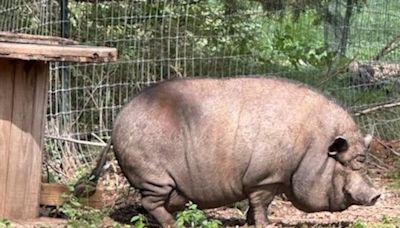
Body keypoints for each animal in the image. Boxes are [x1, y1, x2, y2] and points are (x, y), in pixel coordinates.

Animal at [76, 77, 382, 228]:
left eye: (363, 162)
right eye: (349, 163)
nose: (377, 194)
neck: (311, 147)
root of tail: (117, 120)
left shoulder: (269, 179)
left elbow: (256, 205)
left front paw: (249, 222)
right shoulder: (266, 177)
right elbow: (261, 203)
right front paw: (267, 225)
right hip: (153, 174)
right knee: (150, 202)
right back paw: (174, 224)